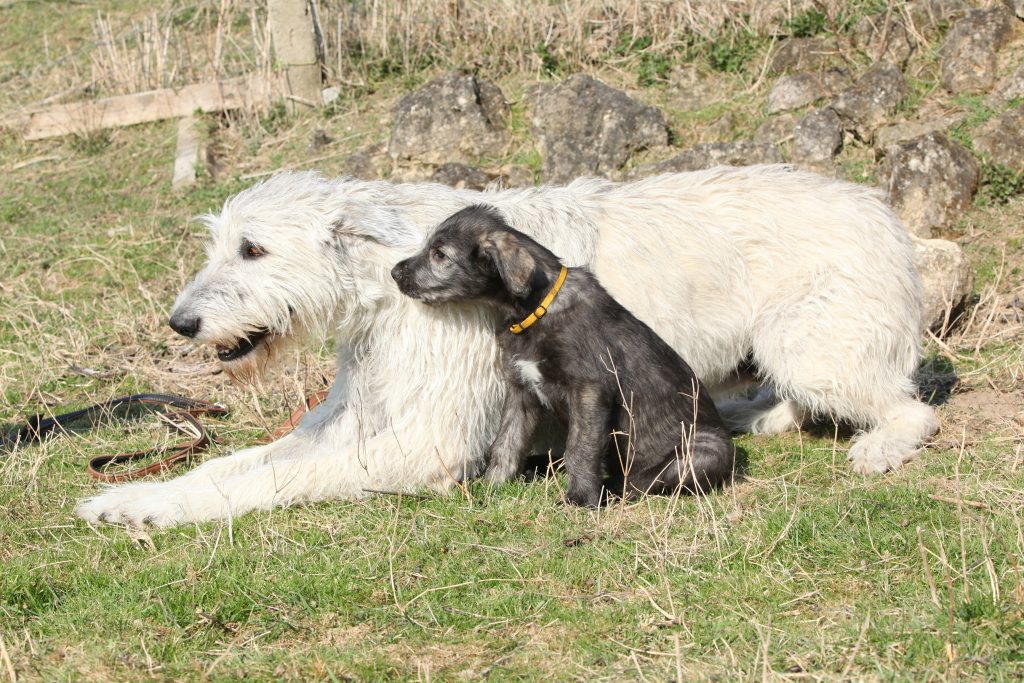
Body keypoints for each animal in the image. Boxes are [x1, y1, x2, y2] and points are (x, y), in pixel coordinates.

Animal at [387, 205, 733, 505]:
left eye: (440, 254)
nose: (394, 272)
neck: (535, 310)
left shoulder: (590, 389)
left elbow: (579, 448)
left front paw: (579, 499)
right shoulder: (521, 391)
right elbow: (506, 443)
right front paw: (493, 486)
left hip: (703, 451)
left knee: (648, 481)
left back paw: (614, 488)